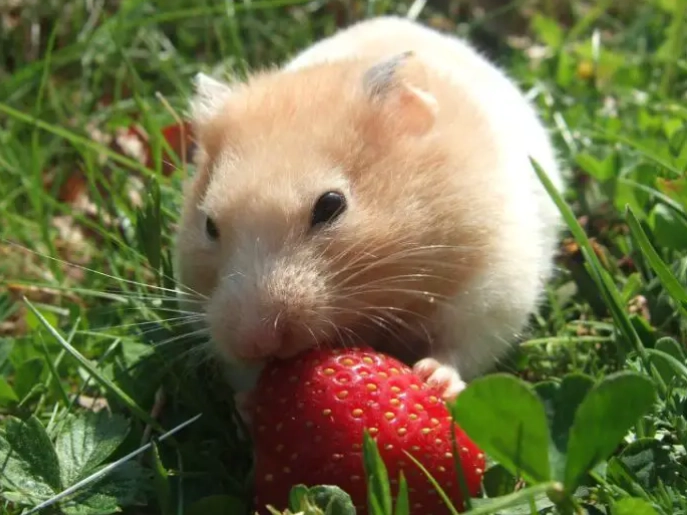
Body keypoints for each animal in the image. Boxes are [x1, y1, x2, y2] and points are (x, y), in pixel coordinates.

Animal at [174, 16, 564, 403]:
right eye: (209, 225)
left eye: (331, 205)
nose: (254, 342)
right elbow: (244, 376)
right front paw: (249, 401)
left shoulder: (493, 288)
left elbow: (461, 347)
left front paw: (432, 379)